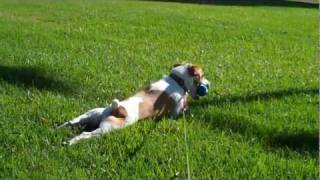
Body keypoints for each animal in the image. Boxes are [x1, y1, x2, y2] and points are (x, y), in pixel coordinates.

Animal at [58, 63, 209, 145]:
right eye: (202, 75)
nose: (208, 84)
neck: (177, 80)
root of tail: (117, 108)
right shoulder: (175, 112)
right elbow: (181, 111)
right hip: (108, 128)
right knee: (85, 134)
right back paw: (71, 142)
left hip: (93, 113)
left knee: (72, 122)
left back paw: (58, 129)